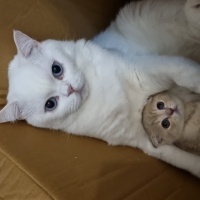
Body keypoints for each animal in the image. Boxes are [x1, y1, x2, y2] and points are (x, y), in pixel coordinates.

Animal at [0, 0, 200, 178]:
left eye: (56, 69)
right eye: (50, 104)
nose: (70, 89)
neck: (97, 92)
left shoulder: (145, 70)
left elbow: (185, 72)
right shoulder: (146, 141)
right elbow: (183, 160)